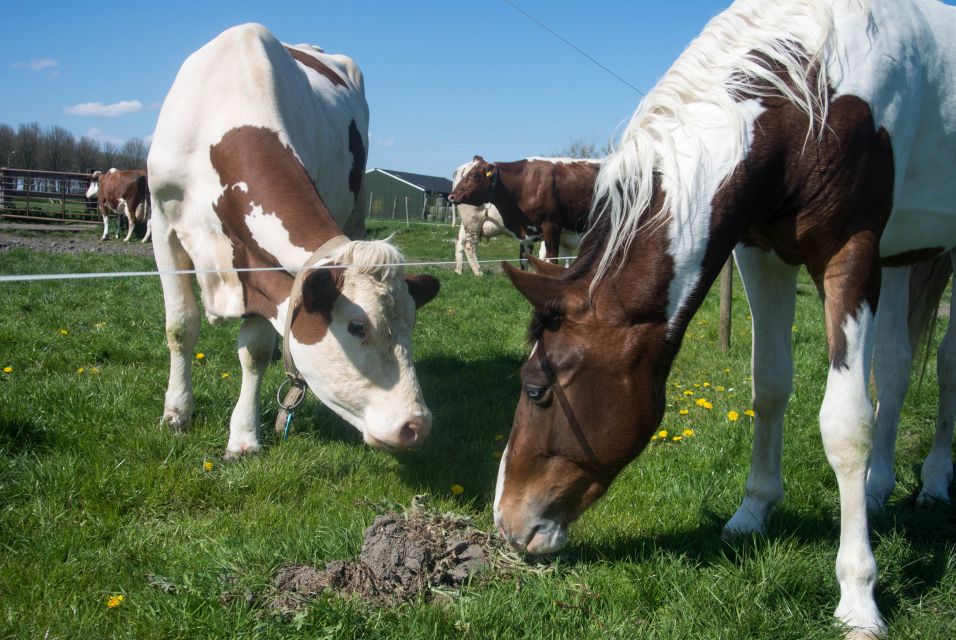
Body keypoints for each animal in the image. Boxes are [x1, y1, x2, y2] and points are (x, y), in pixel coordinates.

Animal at [147, 23, 440, 456]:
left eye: (412, 323)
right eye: (357, 326)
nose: (416, 426)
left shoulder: (258, 262)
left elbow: (254, 351)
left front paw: (244, 437)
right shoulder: (163, 224)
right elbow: (180, 328)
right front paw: (176, 414)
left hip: (354, 209)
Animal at [492, 2, 956, 636]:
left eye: (537, 389)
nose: (506, 522)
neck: (810, 87)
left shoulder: (851, 253)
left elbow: (845, 424)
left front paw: (859, 595)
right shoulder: (760, 251)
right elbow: (770, 388)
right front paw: (753, 512)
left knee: (946, 364)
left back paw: (934, 481)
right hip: (905, 257)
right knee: (896, 366)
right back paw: (880, 486)